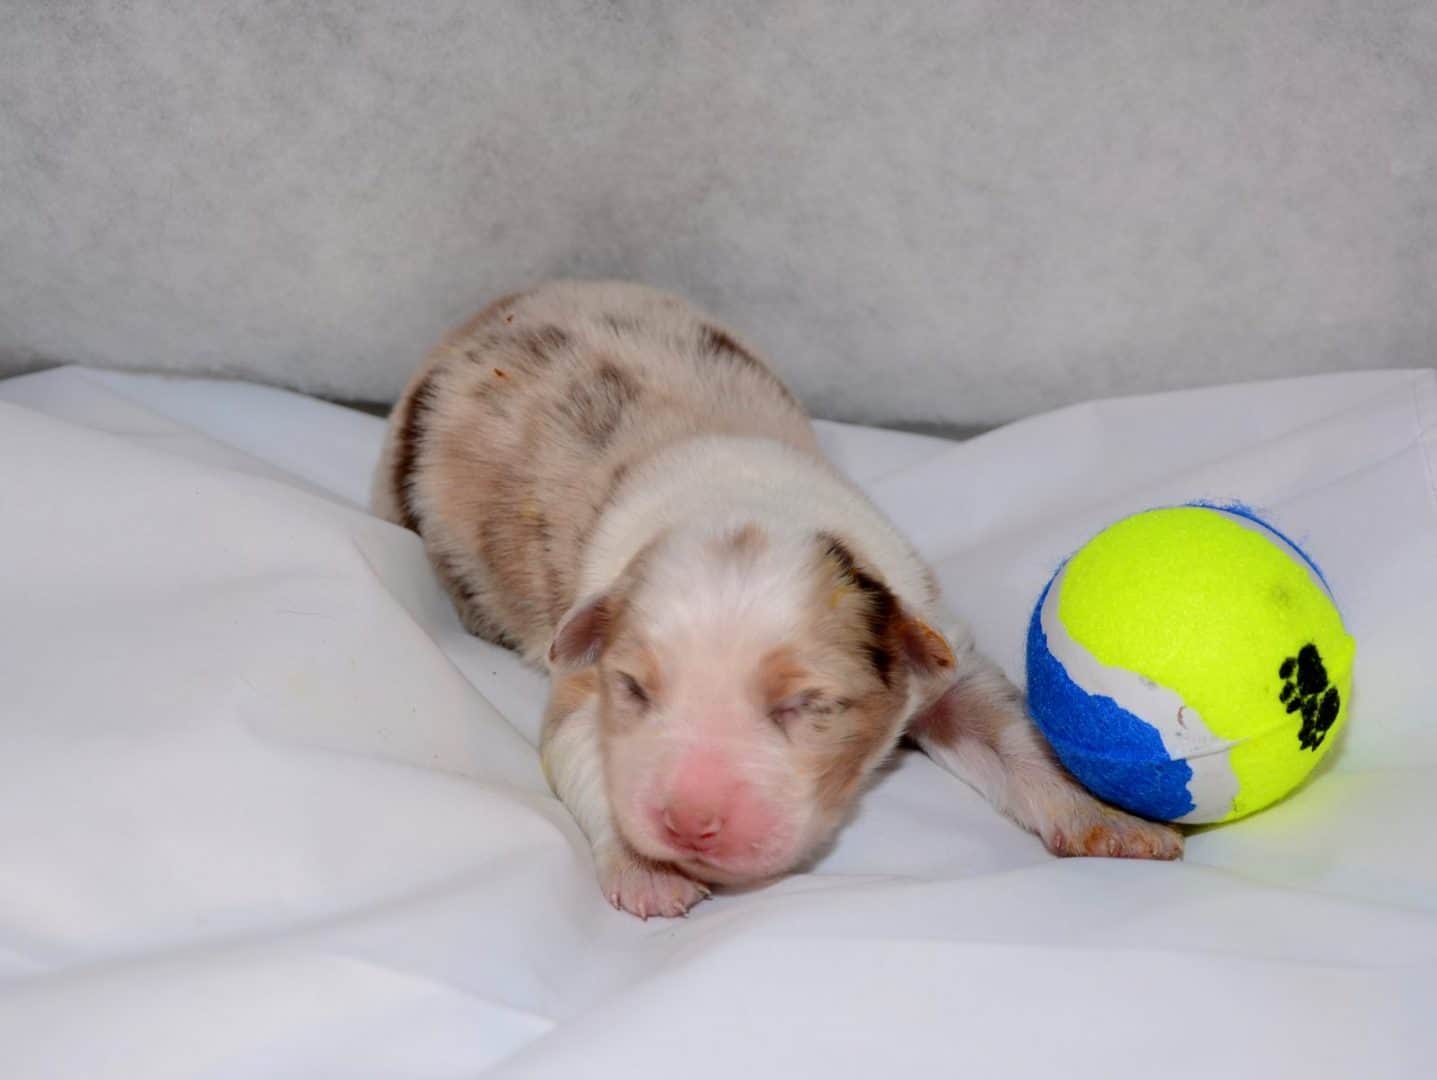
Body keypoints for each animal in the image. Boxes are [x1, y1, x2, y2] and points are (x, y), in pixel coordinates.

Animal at [372, 280, 1182, 917]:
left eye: (807, 705)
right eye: (634, 690)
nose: (688, 823)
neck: (741, 500)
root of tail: (496, 310)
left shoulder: (933, 639)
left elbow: (1008, 730)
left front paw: (1112, 819)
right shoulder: (583, 676)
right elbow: (582, 750)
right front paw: (647, 870)